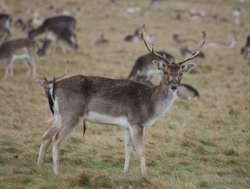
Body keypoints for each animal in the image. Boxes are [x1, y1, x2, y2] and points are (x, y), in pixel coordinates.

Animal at [36, 25, 205, 176]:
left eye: (181, 73)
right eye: (164, 71)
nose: (174, 85)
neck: (151, 105)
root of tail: (53, 86)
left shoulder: (127, 125)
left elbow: (128, 148)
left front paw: (125, 173)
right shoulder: (137, 122)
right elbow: (141, 150)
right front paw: (145, 176)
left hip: (59, 115)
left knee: (46, 136)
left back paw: (40, 167)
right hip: (72, 114)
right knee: (56, 140)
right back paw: (56, 173)